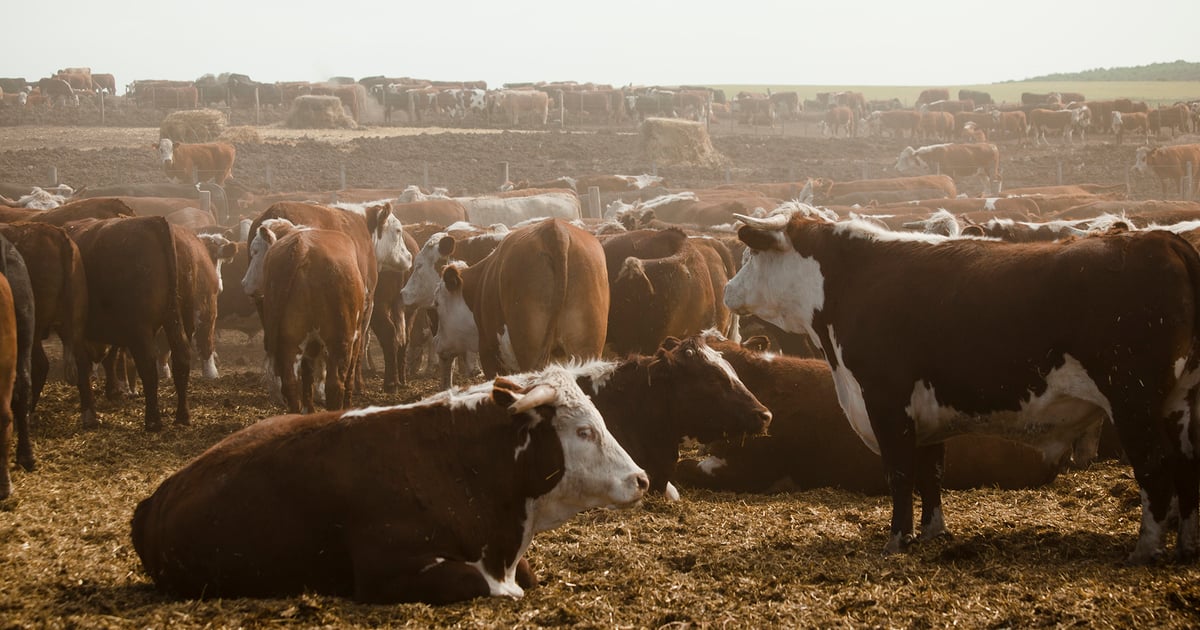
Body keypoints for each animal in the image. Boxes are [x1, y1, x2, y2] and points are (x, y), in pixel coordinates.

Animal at [63, 216, 189, 431]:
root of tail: (153, 220)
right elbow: (111, 357)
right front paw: (113, 391)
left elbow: (84, 366)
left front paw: (89, 413)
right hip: (172, 317)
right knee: (182, 357)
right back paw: (182, 416)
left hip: (140, 329)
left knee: (148, 366)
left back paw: (153, 420)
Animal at [724, 204, 1200, 563]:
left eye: (750, 257)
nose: (728, 290)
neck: (850, 280)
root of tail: (1164, 241)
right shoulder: (926, 409)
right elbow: (930, 472)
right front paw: (931, 532)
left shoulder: (885, 400)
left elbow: (900, 473)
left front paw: (896, 539)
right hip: (1178, 402)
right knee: (1185, 464)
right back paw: (1185, 545)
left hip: (1132, 400)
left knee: (1155, 467)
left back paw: (1145, 549)